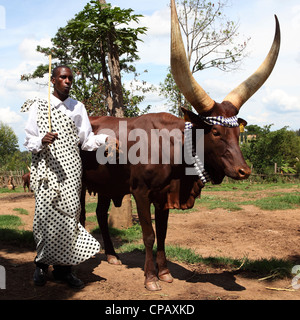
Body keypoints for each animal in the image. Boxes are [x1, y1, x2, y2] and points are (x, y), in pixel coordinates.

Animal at [79, 0, 278, 292]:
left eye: (236, 132)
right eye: (215, 131)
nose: (244, 171)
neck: (171, 148)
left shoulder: (164, 195)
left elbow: (162, 235)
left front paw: (164, 273)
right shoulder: (140, 192)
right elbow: (149, 235)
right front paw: (150, 278)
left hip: (108, 185)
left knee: (101, 214)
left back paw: (113, 256)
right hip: (81, 183)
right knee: (82, 216)